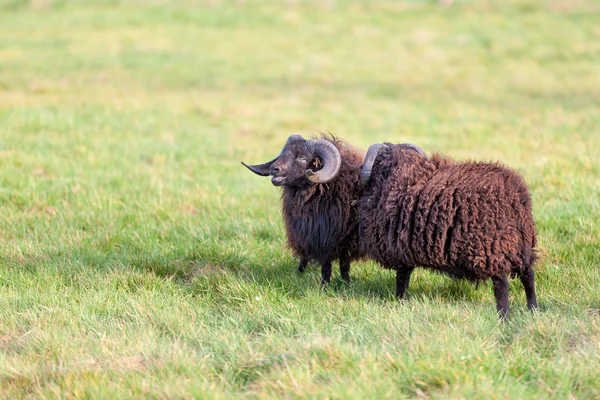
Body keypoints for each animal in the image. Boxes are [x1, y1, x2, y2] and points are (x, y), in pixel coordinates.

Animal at [240, 134, 366, 284]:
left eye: (303, 158)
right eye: (283, 153)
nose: (273, 169)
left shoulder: (335, 239)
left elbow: (336, 266)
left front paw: (334, 284)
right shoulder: (309, 233)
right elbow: (321, 263)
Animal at [356, 142, 540, 318]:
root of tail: (516, 195)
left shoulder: (399, 250)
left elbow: (402, 279)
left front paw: (399, 301)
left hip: (492, 249)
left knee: (501, 283)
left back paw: (504, 316)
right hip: (522, 246)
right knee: (528, 276)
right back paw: (533, 310)